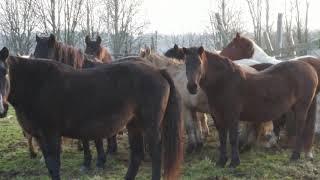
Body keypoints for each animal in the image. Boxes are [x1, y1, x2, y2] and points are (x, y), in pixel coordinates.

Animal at [0, 46, 184, 180]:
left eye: (5, 72)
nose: (2, 108)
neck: (38, 84)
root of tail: (158, 71)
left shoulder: (51, 135)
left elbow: (54, 166)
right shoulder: (40, 136)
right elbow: (50, 167)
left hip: (149, 126)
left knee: (155, 155)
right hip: (134, 124)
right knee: (137, 155)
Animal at [140, 47, 278, 152]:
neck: (176, 75)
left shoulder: (185, 108)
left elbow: (190, 127)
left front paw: (192, 147)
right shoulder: (193, 108)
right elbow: (196, 125)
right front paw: (199, 143)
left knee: (250, 124)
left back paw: (244, 144)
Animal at [184, 46, 318, 167]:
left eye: (199, 62)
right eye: (186, 63)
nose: (192, 87)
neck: (224, 82)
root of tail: (310, 69)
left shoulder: (232, 116)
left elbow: (233, 138)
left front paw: (234, 162)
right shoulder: (217, 117)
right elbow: (222, 139)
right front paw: (221, 162)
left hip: (302, 107)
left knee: (300, 129)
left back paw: (295, 156)